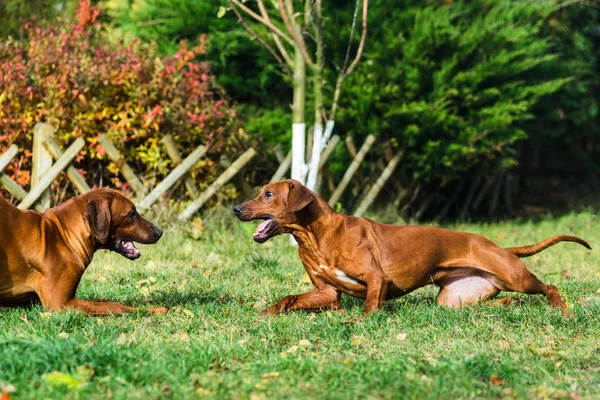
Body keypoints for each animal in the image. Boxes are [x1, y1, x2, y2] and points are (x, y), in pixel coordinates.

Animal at [0, 188, 166, 316]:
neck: (65, 235)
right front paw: (155, 309)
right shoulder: (60, 304)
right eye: (132, 213)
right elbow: (113, 305)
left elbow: (104, 301)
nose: (160, 232)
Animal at [234, 180, 592, 316]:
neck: (316, 236)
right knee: (493, 303)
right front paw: (268, 312)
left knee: (550, 286)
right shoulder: (327, 293)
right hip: (453, 300)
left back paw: (562, 311)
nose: (237, 209)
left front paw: (360, 322)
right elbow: (289, 298)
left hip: (516, 277)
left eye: (268, 193)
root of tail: (498, 246)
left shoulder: (375, 279)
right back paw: (507, 305)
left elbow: (369, 307)